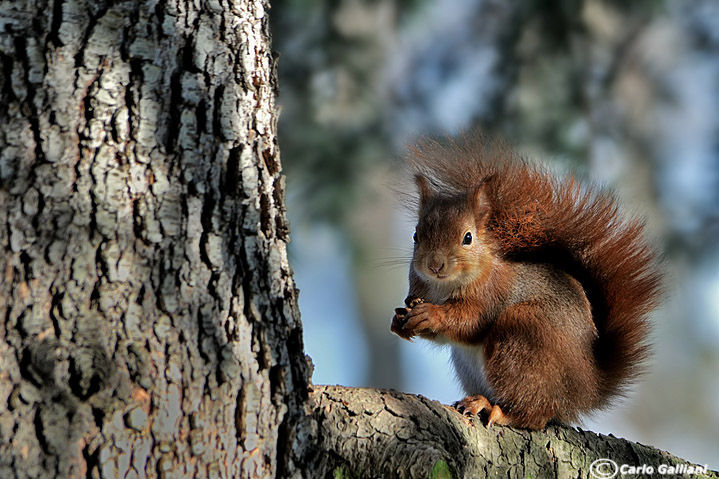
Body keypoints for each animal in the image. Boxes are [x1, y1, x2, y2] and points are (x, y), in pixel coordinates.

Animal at [394, 135, 664, 432]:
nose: (435, 265)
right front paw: (400, 320)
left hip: (521, 335)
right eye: (416, 235)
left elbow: (469, 321)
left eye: (468, 237)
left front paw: (430, 314)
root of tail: (586, 389)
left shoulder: (493, 294)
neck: (442, 287)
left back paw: (497, 410)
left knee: (535, 414)